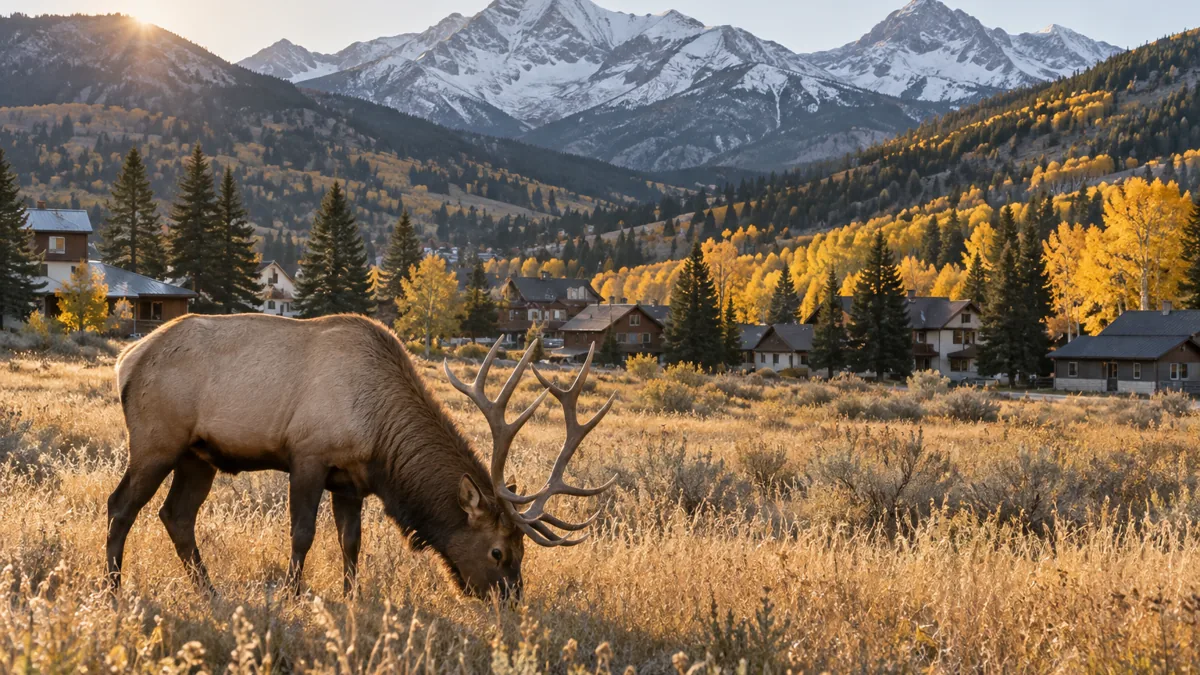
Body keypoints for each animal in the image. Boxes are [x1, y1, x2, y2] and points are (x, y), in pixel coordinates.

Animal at [106, 313, 614, 599]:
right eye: (498, 551)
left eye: (523, 551)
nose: (512, 601)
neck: (379, 442)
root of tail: (126, 360)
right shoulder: (308, 455)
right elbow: (302, 535)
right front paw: (292, 595)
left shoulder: (349, 482)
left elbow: (351, 542)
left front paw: (352, 597)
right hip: (156, 440)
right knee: (121, 505)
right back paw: (112, 589)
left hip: (199, 456)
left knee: (177, 516)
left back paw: (208, 591)